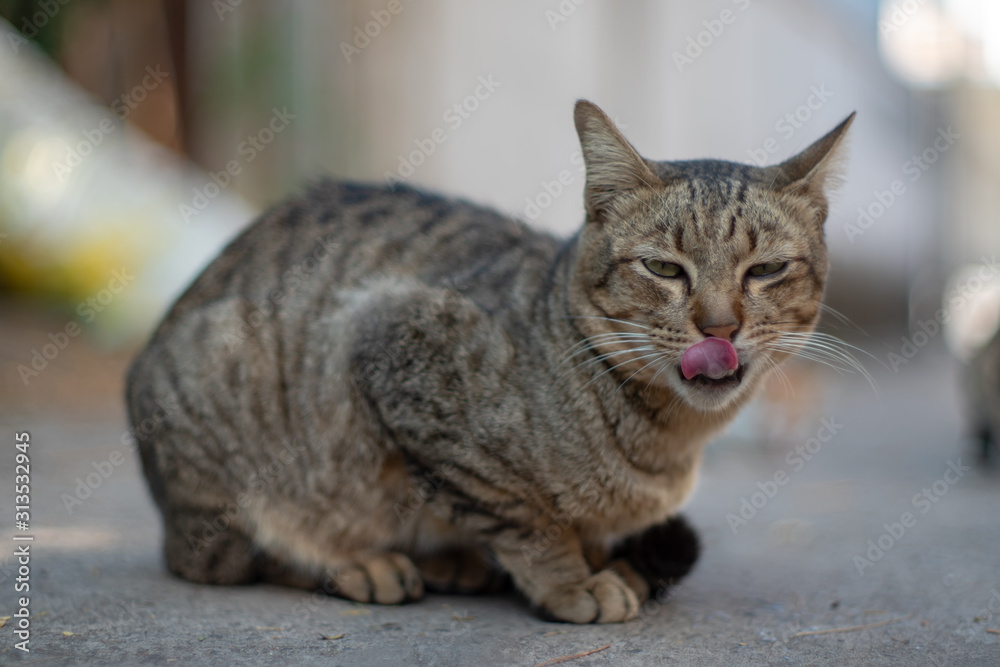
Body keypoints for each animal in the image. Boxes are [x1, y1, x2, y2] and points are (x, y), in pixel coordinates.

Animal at [127, 100, 852, 628]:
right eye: (664, 269)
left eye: (765, 271)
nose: (719, 327)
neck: (667, 442)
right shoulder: (395, 343)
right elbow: (523, 515)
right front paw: (570, 580)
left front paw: (602, 562)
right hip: (224, 396)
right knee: (227, 555)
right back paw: (360, 563)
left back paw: (454, 563)